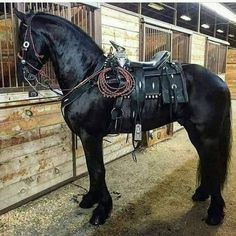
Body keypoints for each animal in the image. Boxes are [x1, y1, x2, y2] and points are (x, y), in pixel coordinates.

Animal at [15, 9, 232, 227]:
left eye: (23, 39)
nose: (24, 74)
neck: (88, 76)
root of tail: (219, 81)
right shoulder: (87, 137)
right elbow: (92, 169)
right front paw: (90, 199)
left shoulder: (91, 136)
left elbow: (98, 170)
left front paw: (102, 210)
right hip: (195, 132)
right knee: (206, 160)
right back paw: (202, 194)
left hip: (208, 134)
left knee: (214, 164)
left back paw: (215, 212)